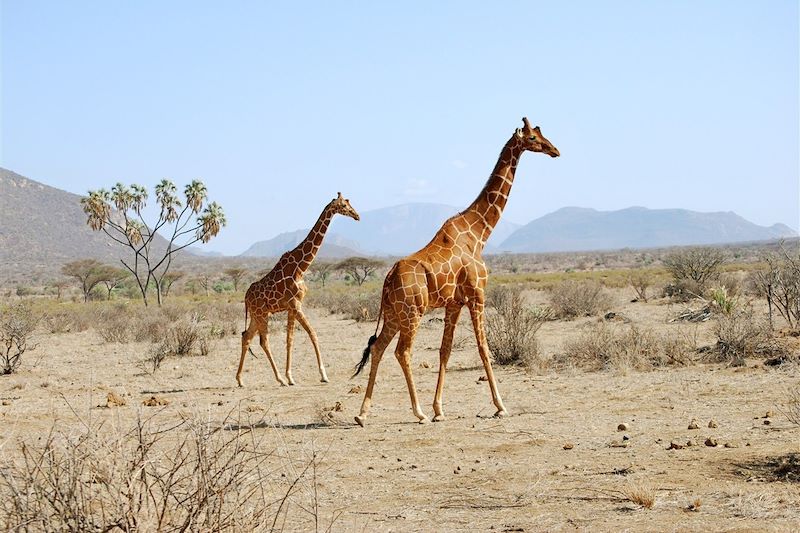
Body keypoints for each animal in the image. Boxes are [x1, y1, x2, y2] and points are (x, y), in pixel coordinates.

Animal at [236, 191, 360, 386]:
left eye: (349, 203)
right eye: (344, 206)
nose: (357, 216)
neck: (301, 267)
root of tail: (246, 296)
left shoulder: (291, 307)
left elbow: (293, 338)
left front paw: (294, 376)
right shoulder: (295, 305)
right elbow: (308, 335)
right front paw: (319, 375)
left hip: (257, 315)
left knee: (246, 336)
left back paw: (240, 380)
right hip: (262, 314)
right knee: (264, 341)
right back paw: (279, 379)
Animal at [354, 117, 560, 424]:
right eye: (533, 138)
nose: (555, 150)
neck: (479, 232)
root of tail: (388, 279)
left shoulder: (454, 303)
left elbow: (445, 350)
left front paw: (439, 409)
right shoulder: (477, 295)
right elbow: (484, 348)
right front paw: (500, 405)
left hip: (393, 313)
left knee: (378, 347)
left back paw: (363, 413)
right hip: (412, 312)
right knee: (402, 352)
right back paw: (418, 412)